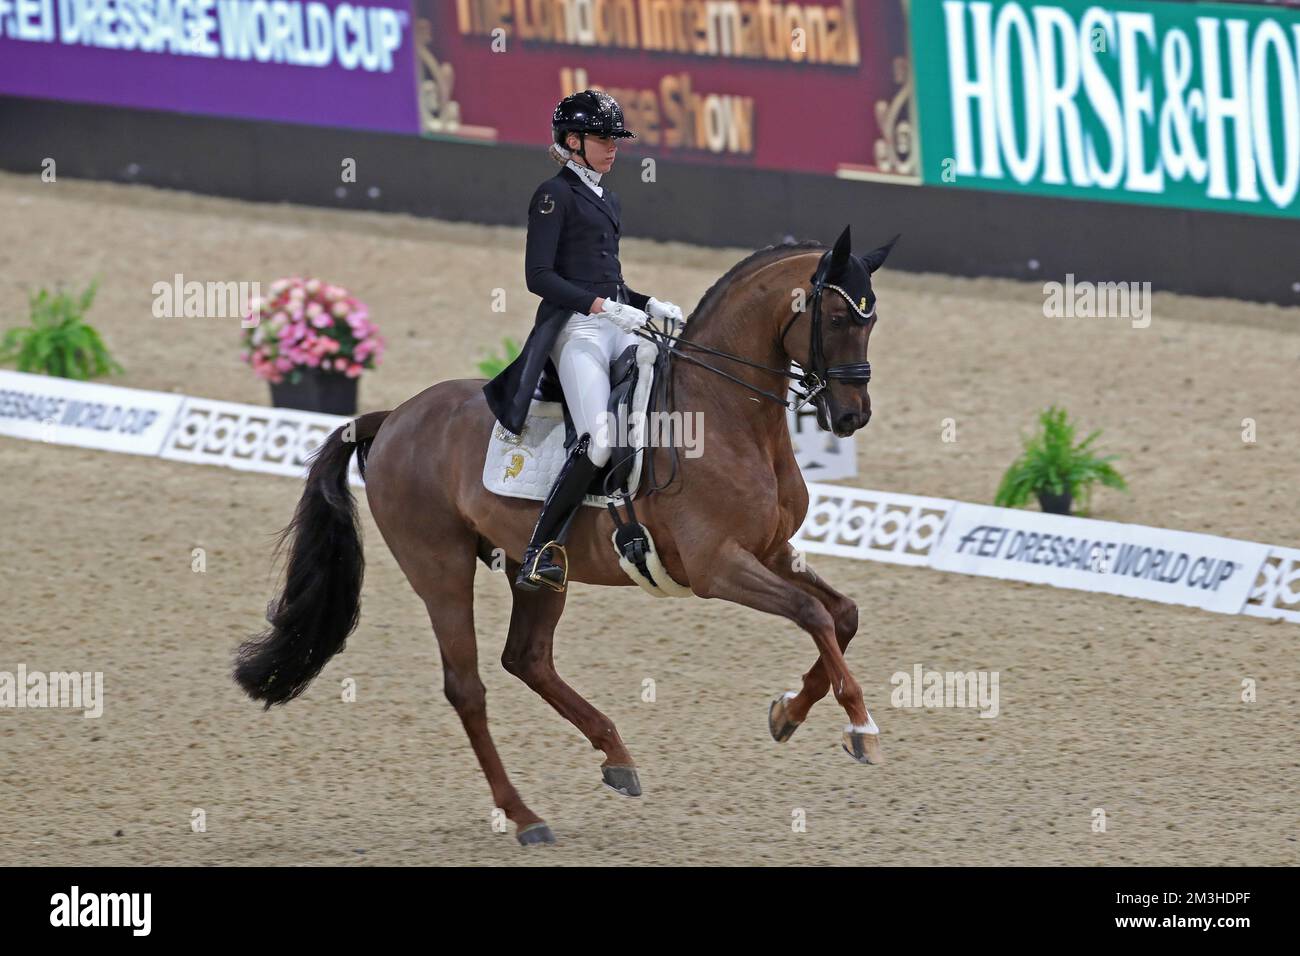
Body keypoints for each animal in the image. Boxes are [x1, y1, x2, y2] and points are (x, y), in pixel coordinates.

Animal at [236, 230, 894, 842]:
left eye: (873, 319)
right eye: (838, 318)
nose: (851, 416)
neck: (726, 414)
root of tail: (395, 417)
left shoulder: (770, 551)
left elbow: (844, 614)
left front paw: (788, 712)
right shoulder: (718, 567)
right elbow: (812, 614)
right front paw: (861, 727)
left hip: (538, 568)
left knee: (526, 658)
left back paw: (617, 757)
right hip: (441, 571)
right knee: (468, 687)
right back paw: (526, 816)